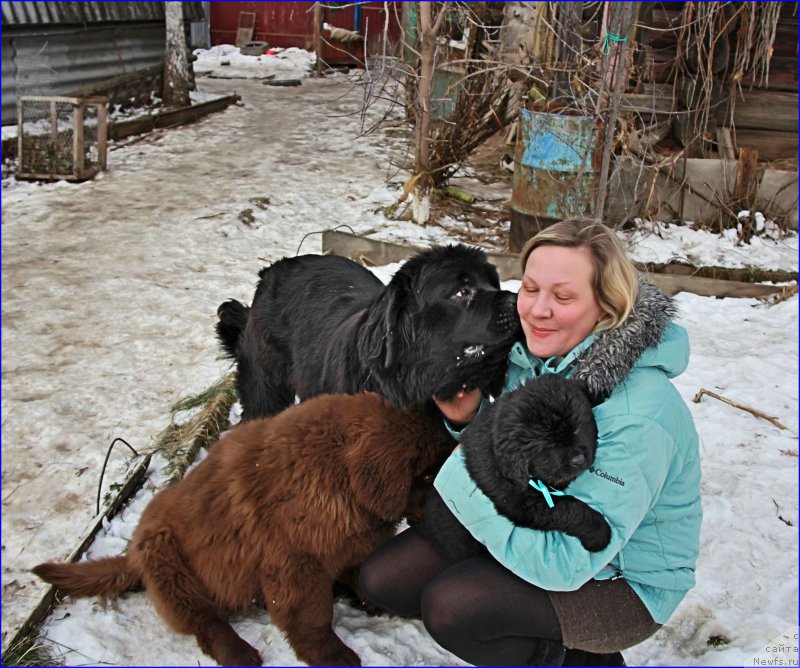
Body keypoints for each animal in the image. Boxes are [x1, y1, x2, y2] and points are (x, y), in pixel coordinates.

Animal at [32, 394, 456, 664]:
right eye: (427, 474)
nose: (451, 517)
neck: (340, 476)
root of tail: (133, 556)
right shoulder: (294, 562)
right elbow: (312, 615)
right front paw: (332, 655)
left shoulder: (351, 542)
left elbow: (359, 570)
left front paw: (372, 600)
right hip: (168, 560)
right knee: (203, 621)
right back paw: (238, 652)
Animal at [422, 374, 608, 560]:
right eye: (547, 445)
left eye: (577, 428)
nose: (578, 459)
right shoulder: (524, 505)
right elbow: (568, 506)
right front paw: (599, 532)